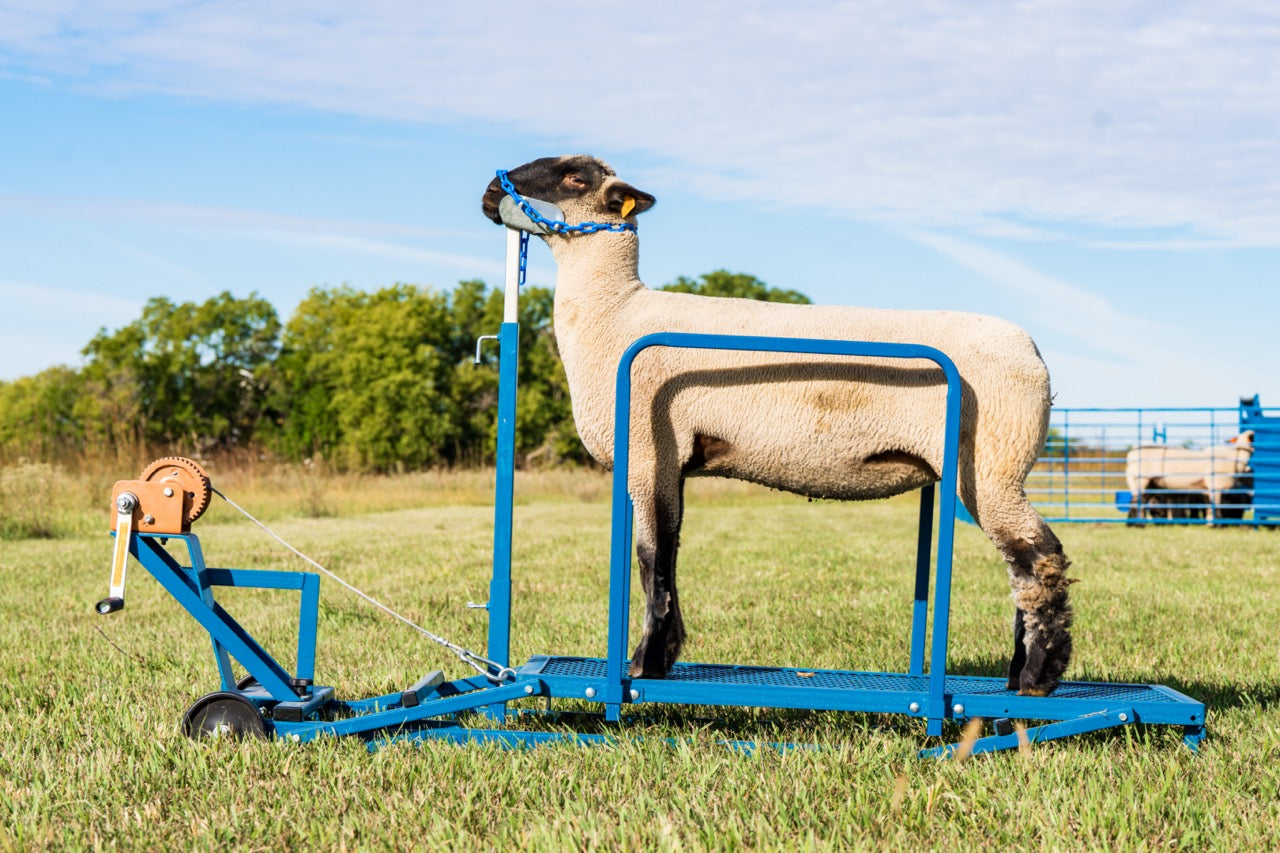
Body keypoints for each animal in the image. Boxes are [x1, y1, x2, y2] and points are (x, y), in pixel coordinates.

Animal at [482, 155, 1075, 697]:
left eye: (574, 178)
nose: (491, 189)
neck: (613, 314)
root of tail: (1034, 352)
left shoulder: (651, 453)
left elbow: (651, 560)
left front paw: (644, 665)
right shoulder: (670, 460)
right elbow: (669, 553)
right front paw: (664, 655)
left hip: (994, 463)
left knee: (1038, 558)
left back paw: (1036, 678)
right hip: (989, 470)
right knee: (1022, 563)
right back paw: (1017, 674)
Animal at [1125, 431, 1254, 524]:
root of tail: (1131, 454)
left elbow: (1208, 507)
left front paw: (1211, 523)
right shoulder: (1216, 485)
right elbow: (1216, 506)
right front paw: (1217, 525)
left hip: (1151, 484)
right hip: (1142, 480)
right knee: (1136, 502)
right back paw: (1136, 524)